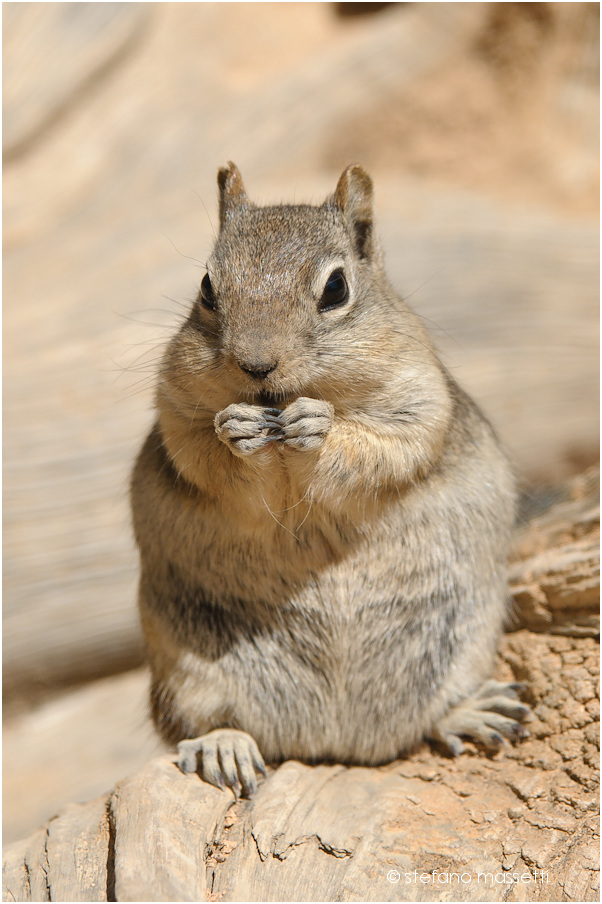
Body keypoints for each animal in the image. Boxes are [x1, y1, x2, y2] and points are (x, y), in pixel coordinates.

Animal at [131, 162, 530, 798]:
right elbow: (207, 456)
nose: (256, 366)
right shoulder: (178, 413)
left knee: (429, 713)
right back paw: (225, 746)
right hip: (185, 674)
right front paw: (238, 432)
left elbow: (383, 445)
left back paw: (469, 711)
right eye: (207, 288)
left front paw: (318, 426)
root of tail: (337, 743)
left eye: (336, 289)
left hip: (466, 641)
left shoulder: (415, 399)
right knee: (207, 724)